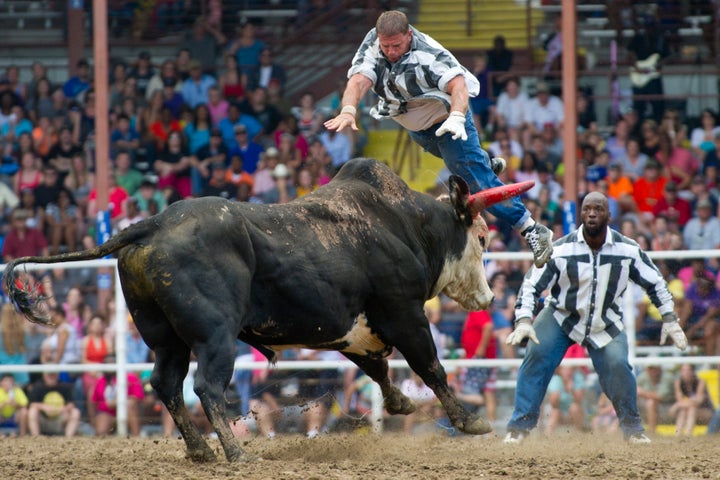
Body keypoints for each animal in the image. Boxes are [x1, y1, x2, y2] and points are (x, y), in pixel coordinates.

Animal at [2, 158, 532, 462]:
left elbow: (377, 367)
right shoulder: (404, 313)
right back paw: (236, 452)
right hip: (214, 336)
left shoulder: (351, 327)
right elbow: (430, 366)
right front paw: (470, 422)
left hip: (165, 339)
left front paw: (399, 403)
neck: (403, 224)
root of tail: (153, 224)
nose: (489, 300)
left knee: (166, 385)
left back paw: (201, 450)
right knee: (205, 387)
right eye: (482, 236)